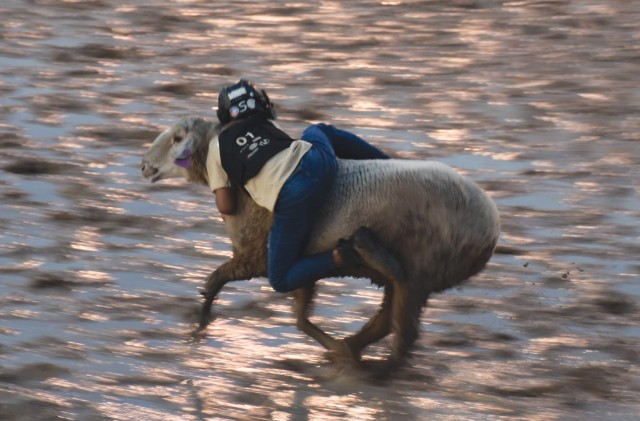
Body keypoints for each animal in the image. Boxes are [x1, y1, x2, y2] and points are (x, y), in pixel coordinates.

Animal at [141, 115, 500, 375]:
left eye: (177, 138)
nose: (143, 165)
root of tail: (491, 228)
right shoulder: (295, 260)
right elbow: (300, 317)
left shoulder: (261, 255)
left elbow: (216, 280)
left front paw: (199, 324)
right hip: (417, 278)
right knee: (388, 321)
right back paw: (353, 346)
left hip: (423, 268)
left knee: (403, 331)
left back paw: (376, 367)